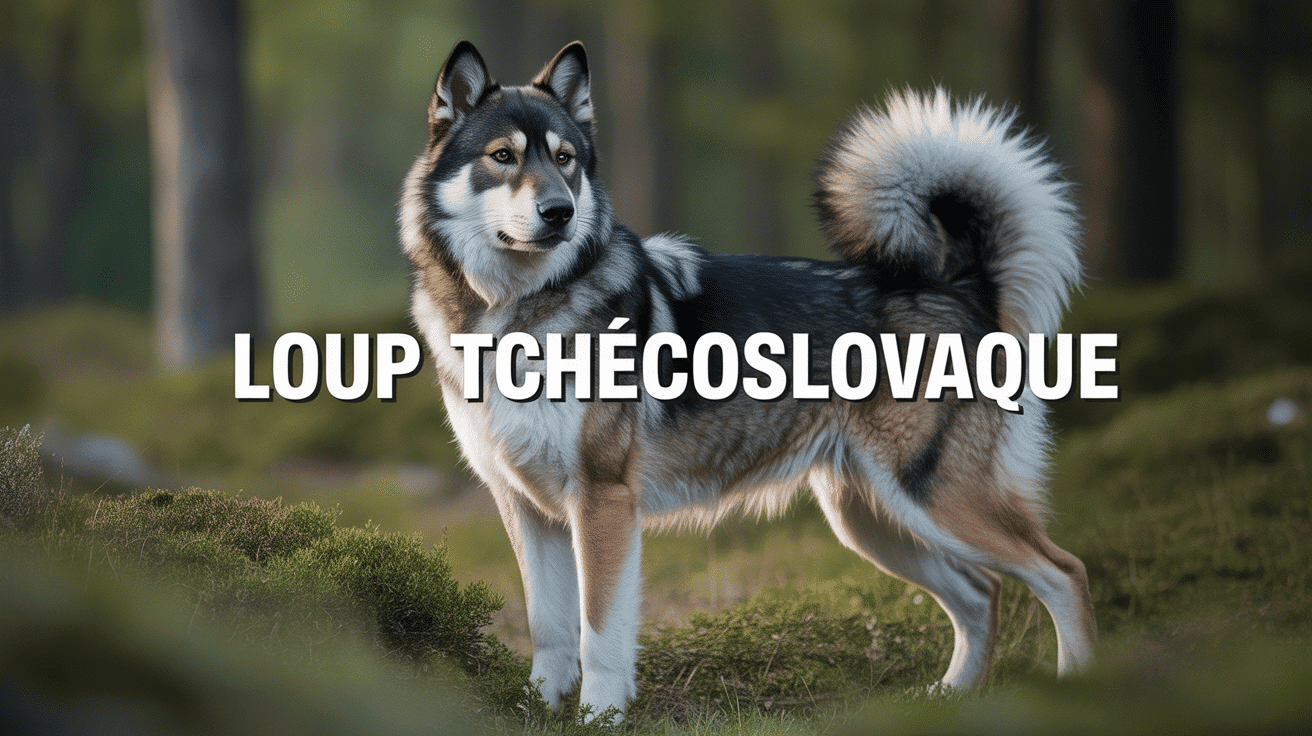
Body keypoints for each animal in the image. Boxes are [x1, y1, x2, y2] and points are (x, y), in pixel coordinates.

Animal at [401, 40, 1094, 716]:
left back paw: (1081, 688)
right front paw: (538, 709)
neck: (515, 311)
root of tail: (961, 287)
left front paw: (600, 720)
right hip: (874, 521)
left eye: (564, 159)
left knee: (1064, 572)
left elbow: (599, 635)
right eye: (503, 157)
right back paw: (947, 699)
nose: (559, 212)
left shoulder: (602, 502)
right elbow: (548, 628)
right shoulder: (525, 507)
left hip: (931, 501)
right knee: (983, 592)